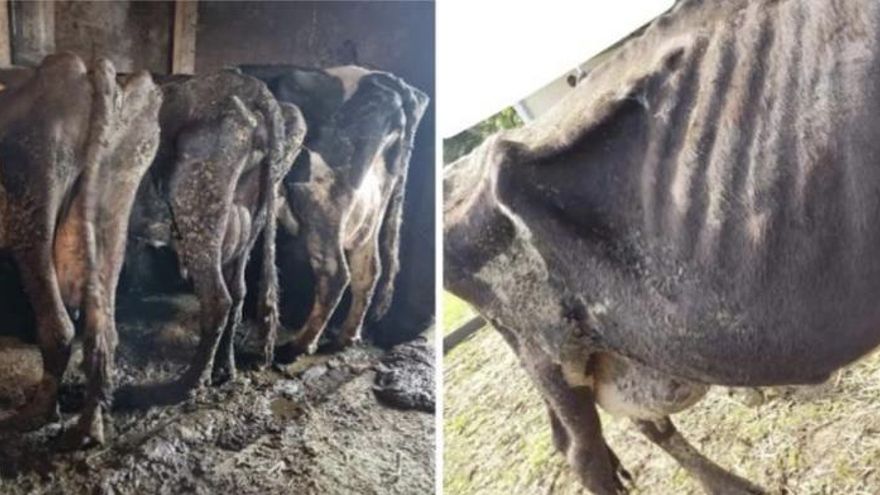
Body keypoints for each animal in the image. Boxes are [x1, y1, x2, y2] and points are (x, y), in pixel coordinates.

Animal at [0, 53, 161, 447]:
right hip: (116, 202)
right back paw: (90, 426)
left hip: (34, 202)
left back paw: (36, 415)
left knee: (58, 328)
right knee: (104, 328)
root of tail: (89, 69)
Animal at [119, 71, 305, 405]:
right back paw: (224, 368)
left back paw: (187, 385)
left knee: (219, 299)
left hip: (198, 205)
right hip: (248, 225)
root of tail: (254, 88)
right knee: (239, 292)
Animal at [240, 65, 429, 357]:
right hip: (371, 210)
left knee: (335, 274)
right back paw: (346, 337)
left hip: (320, 201)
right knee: (368, 270)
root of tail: (389, 82)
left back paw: (300, 344)